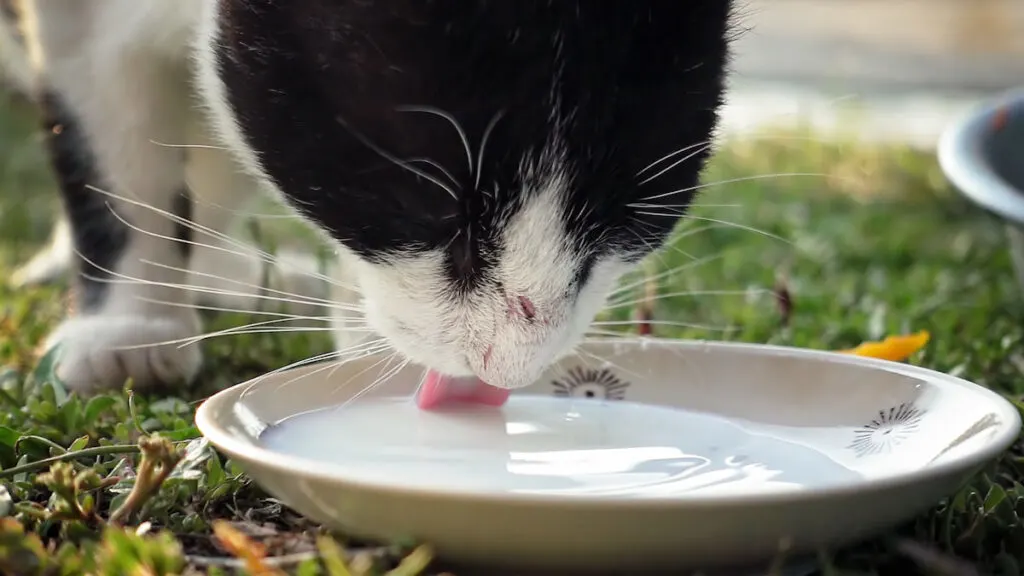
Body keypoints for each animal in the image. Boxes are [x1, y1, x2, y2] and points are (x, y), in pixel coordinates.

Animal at [2, 0, 737, 393]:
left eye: (623, 218)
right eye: (430, 210)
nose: (505, 366)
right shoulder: (77, 25)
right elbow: (114, 161)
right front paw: (130, 324)